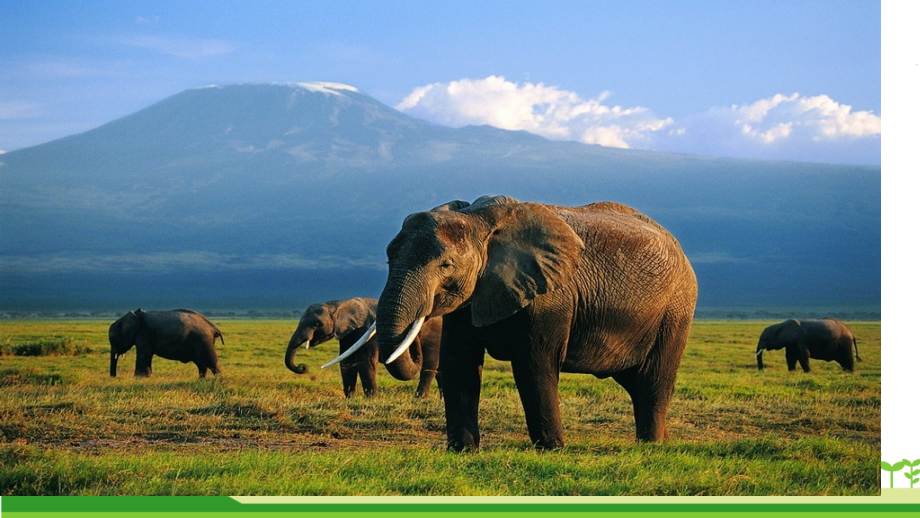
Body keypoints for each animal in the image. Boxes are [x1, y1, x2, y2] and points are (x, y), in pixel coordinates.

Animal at [284, 297, 442, 398]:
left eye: (317, 324)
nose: (303, 367)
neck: (337, 304)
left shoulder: (366, 330)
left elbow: (366, 361)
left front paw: (372, 399)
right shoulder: (348, 333)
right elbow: (347, 362)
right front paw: (350, 399)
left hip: (434, 335)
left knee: (429, 367)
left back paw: (419, 398)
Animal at [327, 195, 698, 451]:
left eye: (446, 265)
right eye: (388, 258)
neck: (479, 220)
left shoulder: (550, 296)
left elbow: (534, 365)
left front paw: (552, 450)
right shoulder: (470, 298)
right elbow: (460, 363)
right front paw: (462, 451)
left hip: (676, 309)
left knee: (653, 381)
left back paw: (652, 445)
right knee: (635, 382)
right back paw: (659, 441)